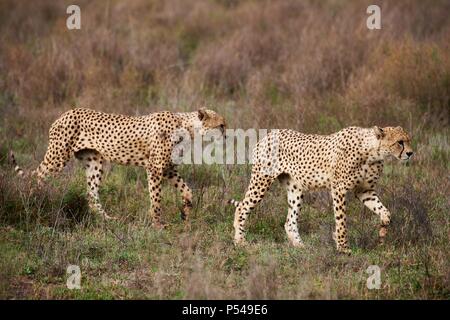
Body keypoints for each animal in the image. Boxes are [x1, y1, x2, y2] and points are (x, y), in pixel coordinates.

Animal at [11, 107, 227, 228]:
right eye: (221, 125)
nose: (226, 134)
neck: (187, 127)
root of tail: (64, 114)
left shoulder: (168, 168)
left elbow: (187, 190)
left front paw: (186, 213)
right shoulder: (155, 168)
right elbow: (156, 198)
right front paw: (158, 223)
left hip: (94, 162)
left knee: (91, 194)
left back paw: (107, 220)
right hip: (58, 156)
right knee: (38, 176)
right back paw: (37, 201)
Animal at [230, 126, 414, 254]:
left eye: (408, 140)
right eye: (400, 142)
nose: (411, 153)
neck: (372, 152)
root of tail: (268, 135)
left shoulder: (365, 191)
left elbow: (385, 212)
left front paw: (382, 232)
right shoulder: (339, 189)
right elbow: (341, 220)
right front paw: (343, 247)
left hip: (296, 188)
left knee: (290, 221)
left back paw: (301, 247)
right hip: (262, 180)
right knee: (242, 207)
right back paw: (240, 242)